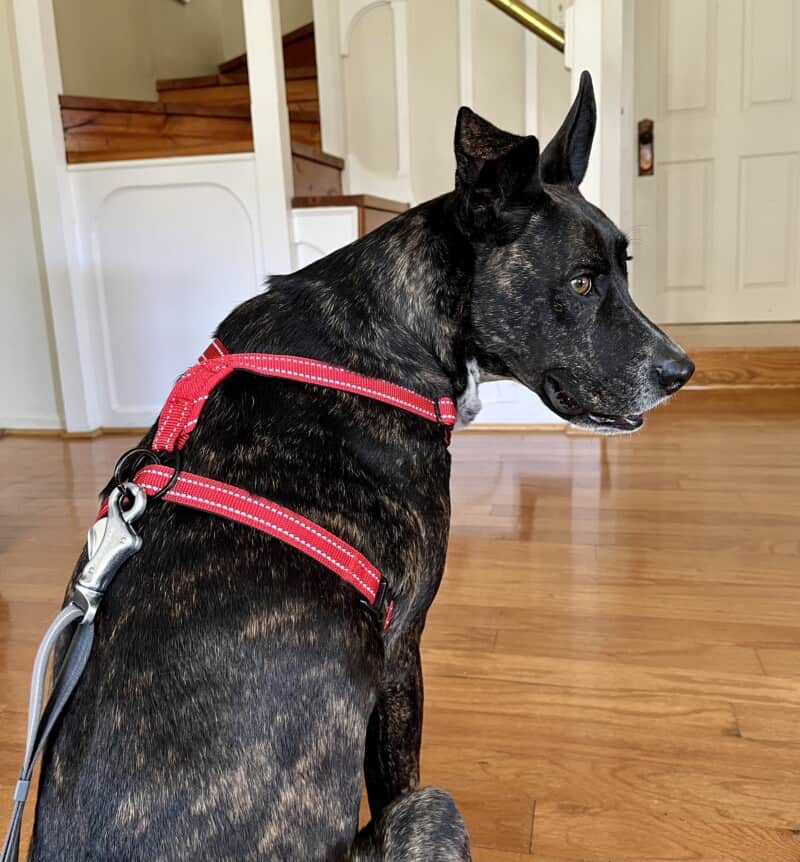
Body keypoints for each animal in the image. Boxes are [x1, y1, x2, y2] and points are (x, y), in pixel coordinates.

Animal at [31, 76, 692, 862]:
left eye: (622, 269)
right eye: (583, 283)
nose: (682, 371)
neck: (384, 342)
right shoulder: (402, 649)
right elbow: (397, 771)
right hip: (434, 814)